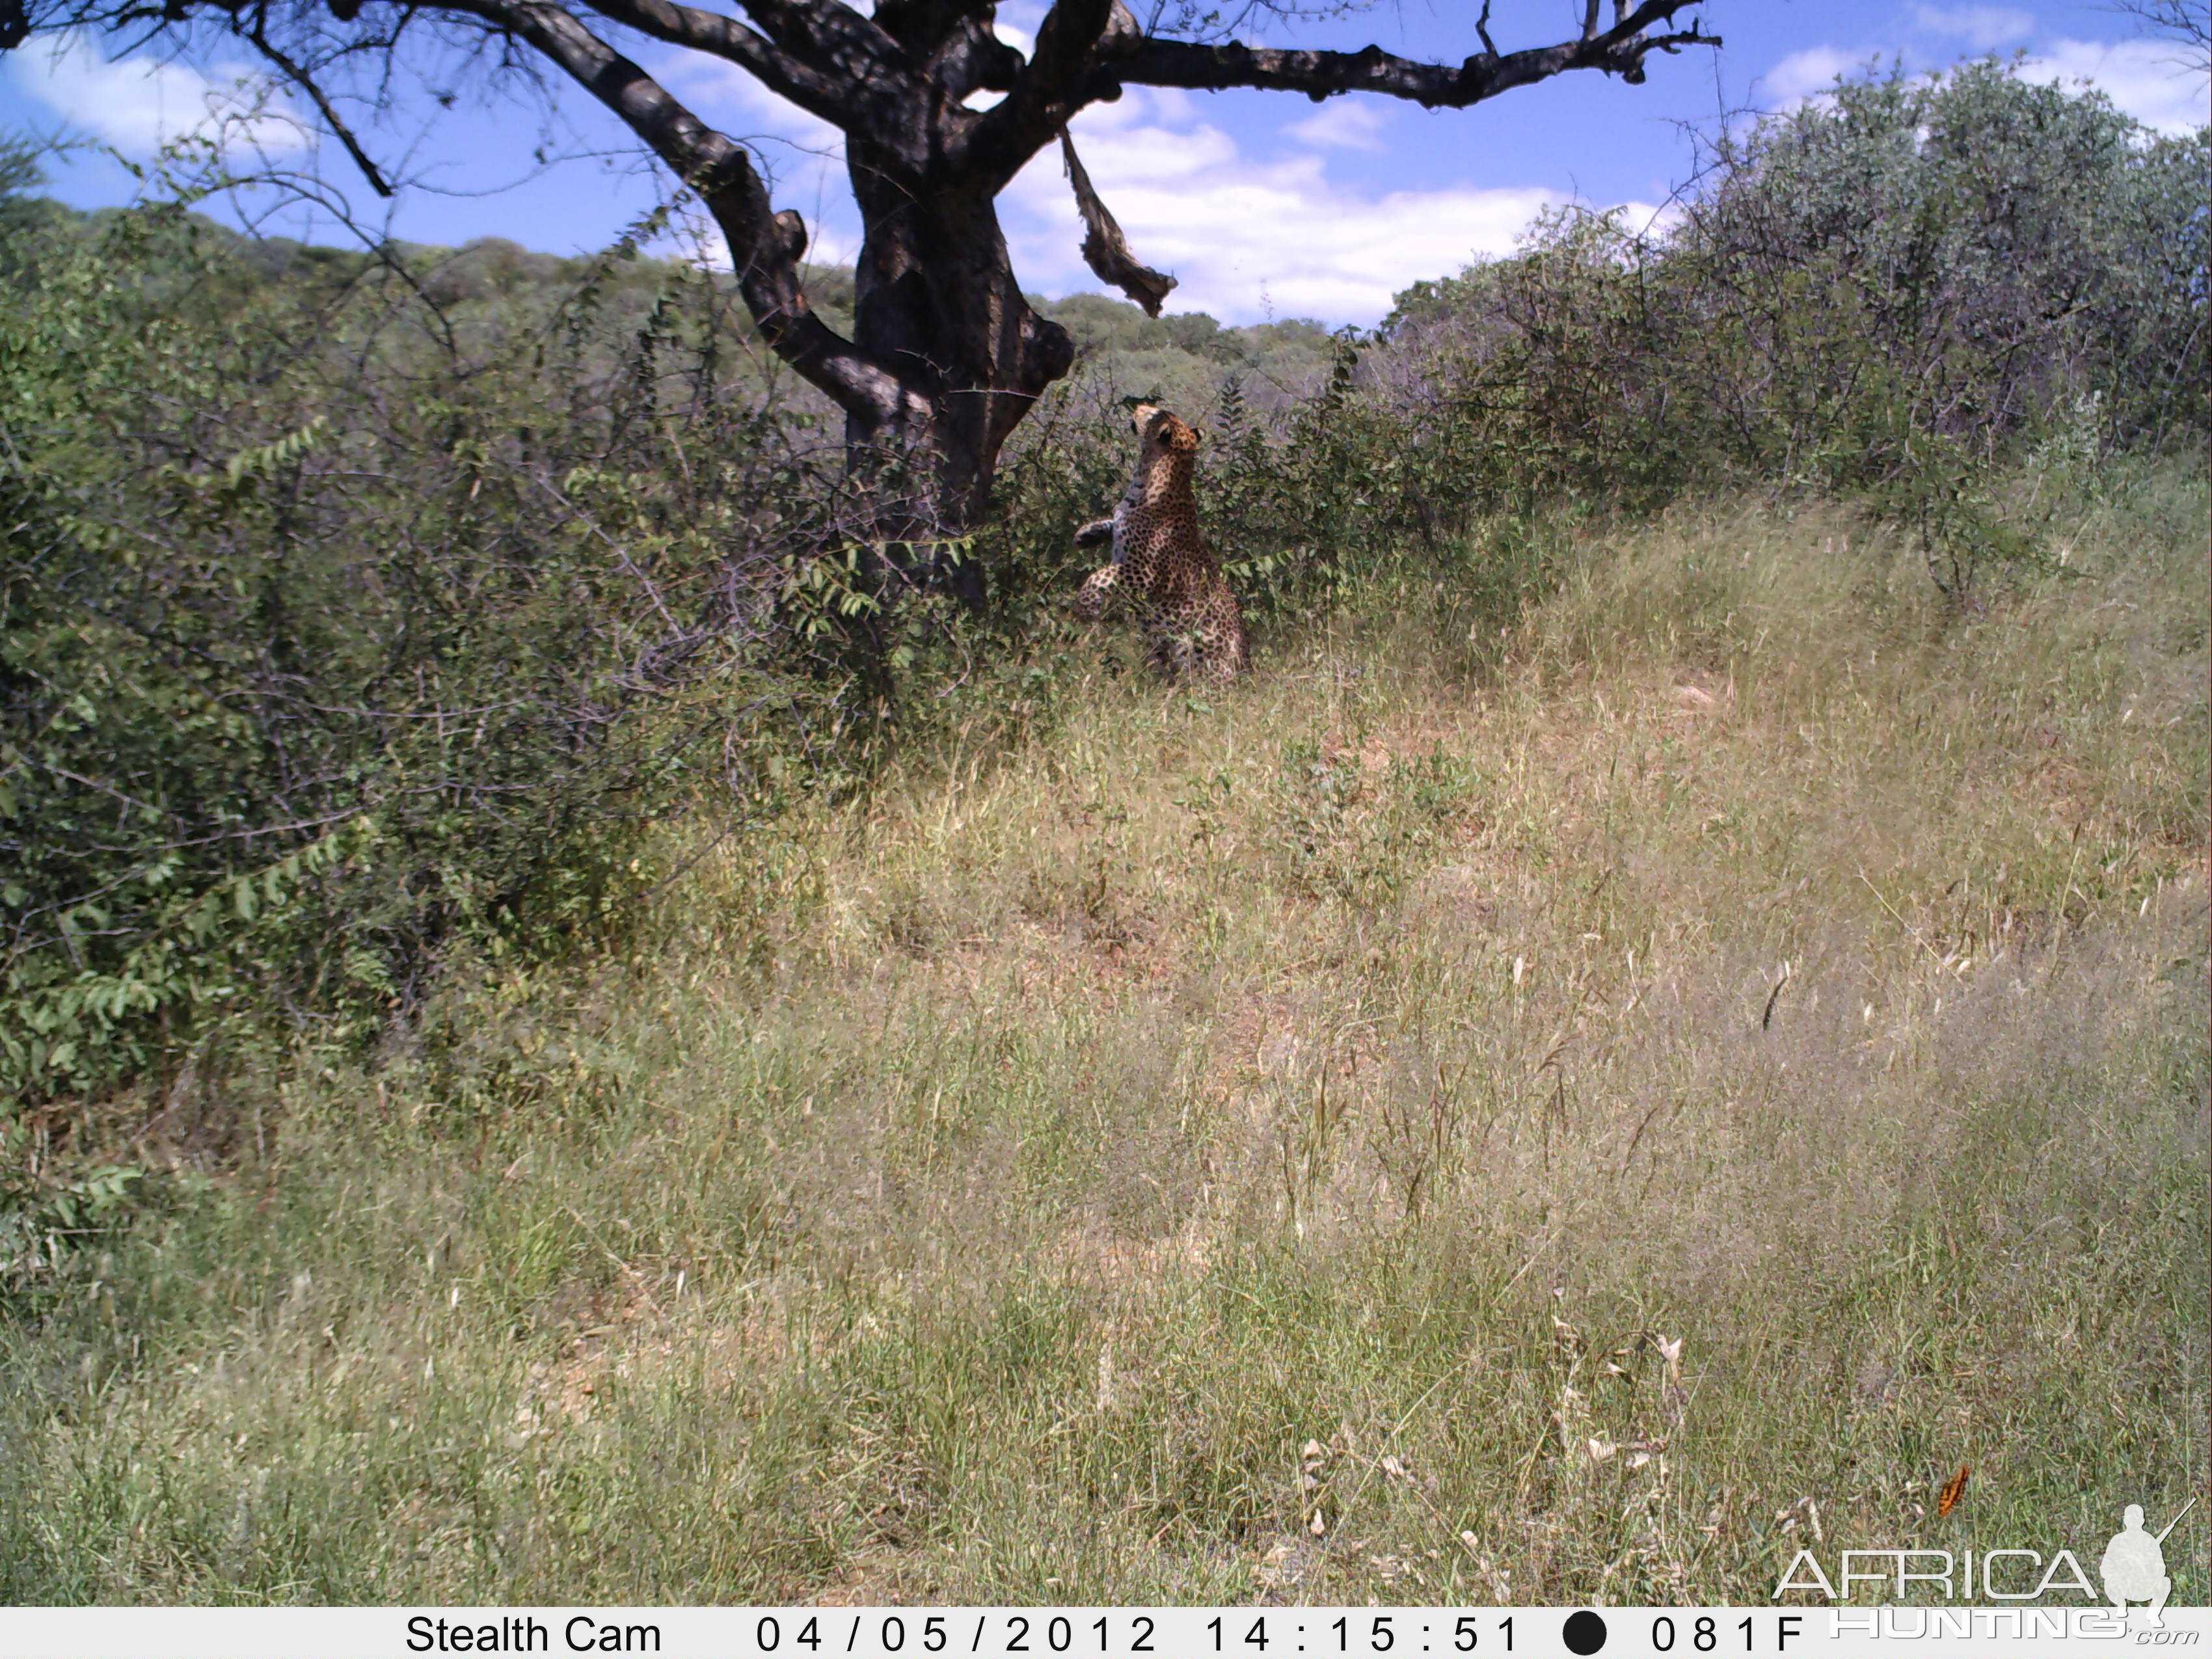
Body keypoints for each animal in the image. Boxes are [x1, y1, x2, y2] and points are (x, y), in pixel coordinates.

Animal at [1066, 402, 1247, 681]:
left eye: (1153, 414)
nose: (1139, 406)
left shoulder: (1143, 572)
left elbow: (1099, 576)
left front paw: (1086, 607)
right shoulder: (1122, 527)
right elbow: (1111, 524)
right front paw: (1086, 535)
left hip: (1197, 651)